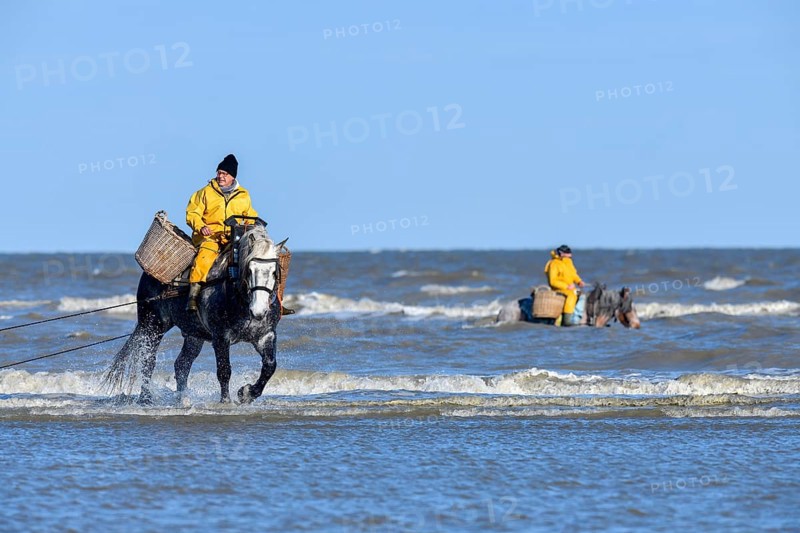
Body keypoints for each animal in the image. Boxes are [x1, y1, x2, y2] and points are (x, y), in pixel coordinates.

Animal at [106, 223, 283, 404]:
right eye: (249, 270)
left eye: (274, 271)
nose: (259, 311)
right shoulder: (221, 337)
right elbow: (224, 370)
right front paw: (226, 401)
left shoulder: (265, 335)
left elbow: (270, 366)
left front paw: (247, 393)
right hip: (153, 327)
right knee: (148, 361)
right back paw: (146, 397)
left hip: (193, 335)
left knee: (181, 364)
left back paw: (182, 398)